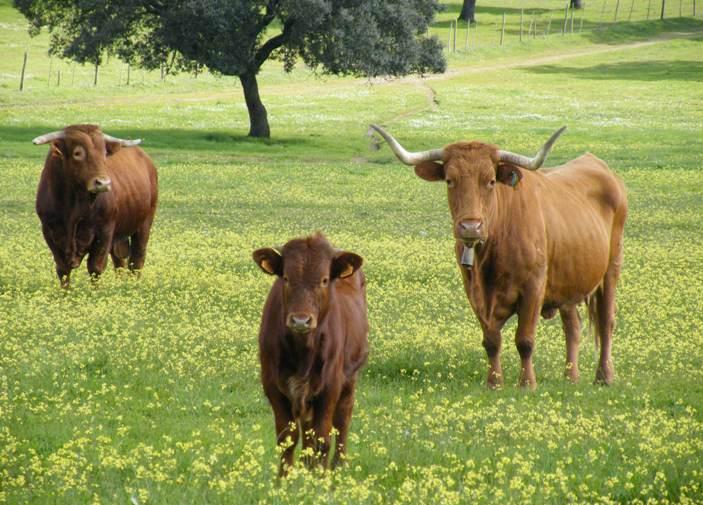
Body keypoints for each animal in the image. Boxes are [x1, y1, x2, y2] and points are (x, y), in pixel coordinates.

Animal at [33, 124, 158, 286]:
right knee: (119, 261)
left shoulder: (104, 232)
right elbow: (63, 270)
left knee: (137, 258)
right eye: (77, 153)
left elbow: (95, 268)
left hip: (144, 223)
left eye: (104, 152)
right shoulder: (49, 232)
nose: (103, 183)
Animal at [254, 234, 374, 474]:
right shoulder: (273, 385)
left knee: (342, 419)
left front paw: (319, 478)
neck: (303, 351)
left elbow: (322, 439)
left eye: (324, 280)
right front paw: (284, 479)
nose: (301, 320)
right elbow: (287, 439)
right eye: (286, 278)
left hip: (349, 378)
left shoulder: (329, 386)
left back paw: (338, 465)